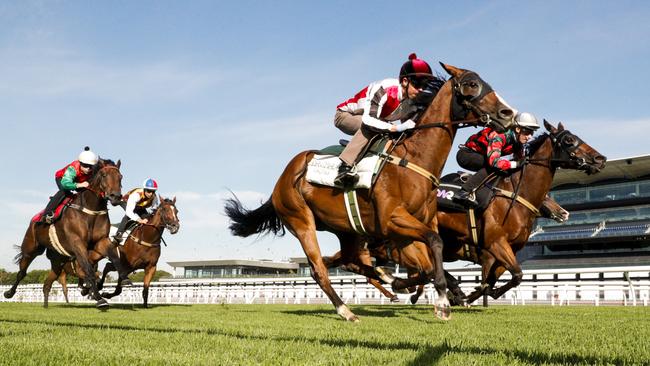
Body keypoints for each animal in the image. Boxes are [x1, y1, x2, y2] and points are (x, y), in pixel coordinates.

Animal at [2, 159, 128, 308]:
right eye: (103, 175)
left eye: (120, 177)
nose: (116, 196)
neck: (91, 210)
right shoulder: (77, 243)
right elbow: (89, 270)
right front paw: (99, 298)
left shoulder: (101, 241)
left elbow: (113, 257)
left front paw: (124, 279)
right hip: (31, 248)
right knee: (22, 272)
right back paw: (9, 293)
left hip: (58, 261)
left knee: (48, 281)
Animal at [225, 63, 512, 320]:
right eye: (471, 84)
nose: (507, 113)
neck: (414, 159)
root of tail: (281, 181)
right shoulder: (393, 220)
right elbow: (434, 245)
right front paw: (442, 301)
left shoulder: (414, 226)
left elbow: (427, 262)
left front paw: (415, 287)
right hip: (301, 221)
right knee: (319, 268)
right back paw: (346, 311)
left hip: (347, 229)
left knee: (350, 260)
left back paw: (386, 279)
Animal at [326, 119, 604, 304]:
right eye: (569, 140)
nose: (600, 159)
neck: (515, 195)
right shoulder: (494, 244)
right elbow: (513, 275)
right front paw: (469, 295)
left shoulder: (505, 250)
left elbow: (498, 279)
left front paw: (471, 294)